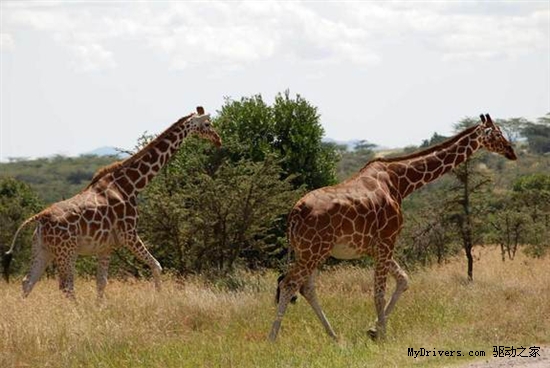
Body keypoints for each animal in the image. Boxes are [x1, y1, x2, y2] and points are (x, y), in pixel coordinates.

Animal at [2, 107, 222, 300]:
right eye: (208, 124)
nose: (218, 139)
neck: (131, 185)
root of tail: (40, 217)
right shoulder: (129, 234)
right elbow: (156, 265)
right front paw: (161, 299)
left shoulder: (106, 246)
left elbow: (102, 282)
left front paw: (100, 308)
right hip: (67, 251)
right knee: (66, 286)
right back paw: (78, 314)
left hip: (42, 249)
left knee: (27, 282)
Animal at [270, 113, 516, 340]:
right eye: (497, 133)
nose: (511, 152)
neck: (400, 182)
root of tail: (295, 212)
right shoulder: (388, 239)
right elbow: (379, 291)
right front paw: (383, 335)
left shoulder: (375, 246)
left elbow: (403, 280)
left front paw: (373, 330)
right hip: (313, 251)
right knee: (289, 284)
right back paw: (273, 339)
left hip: (310, 251)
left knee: (305, 288)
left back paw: (334, 337)